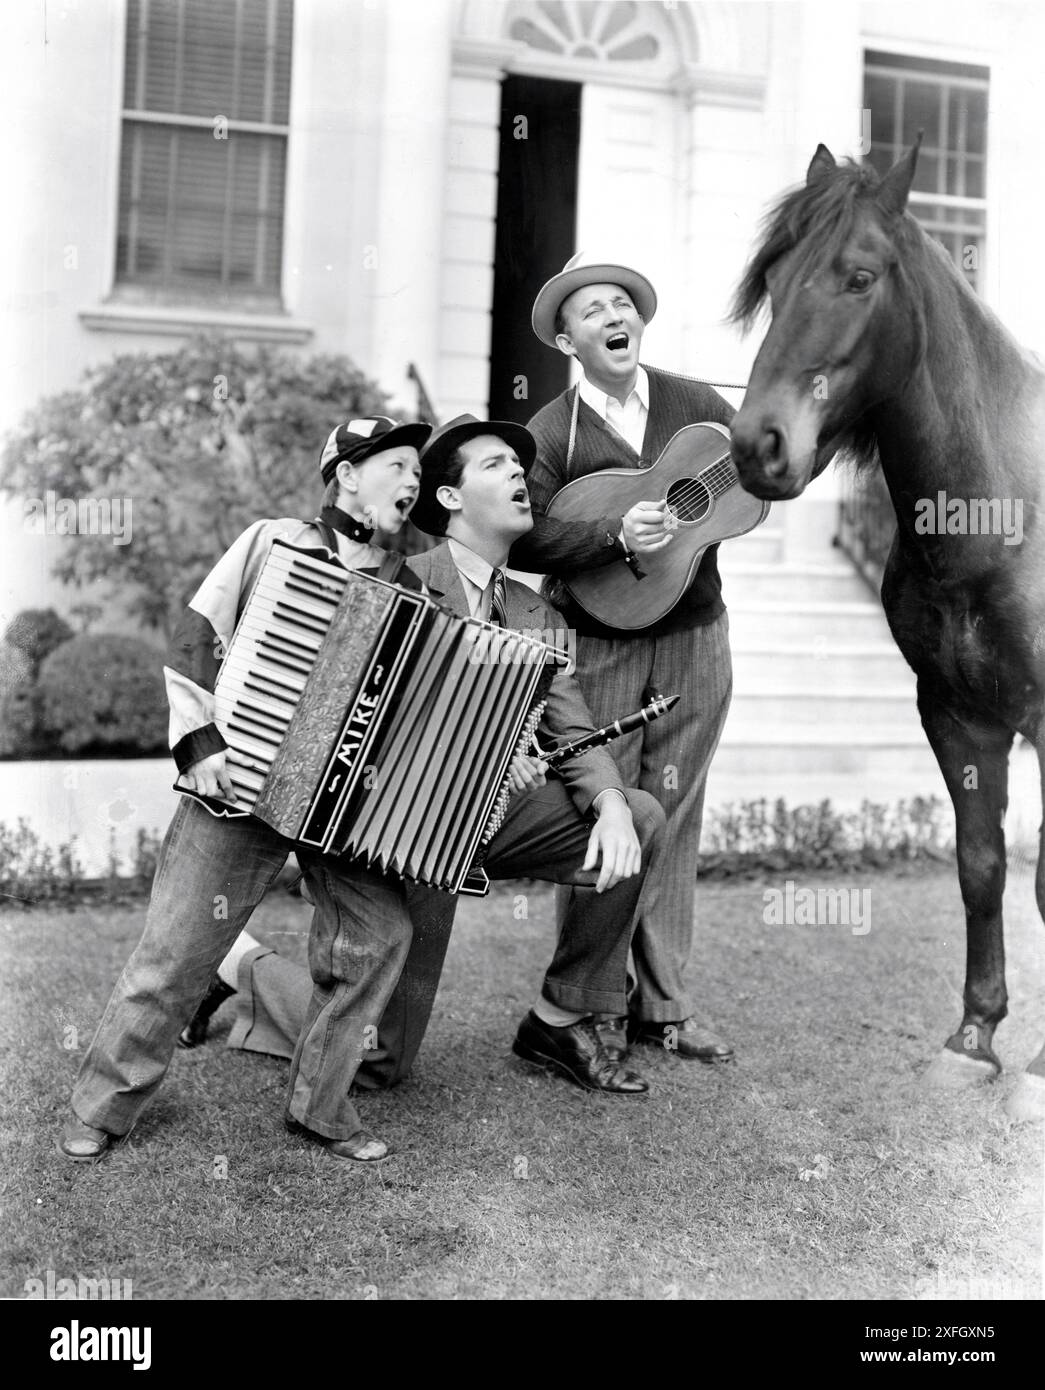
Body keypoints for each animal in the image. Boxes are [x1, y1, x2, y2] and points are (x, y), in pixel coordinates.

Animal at [728, 138, 1045, 1117]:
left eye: (858, 277)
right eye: (771, 277)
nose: (757, 444)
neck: (1002, 513)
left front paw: (1040, 1070)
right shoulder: (955, 716)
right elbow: (980, 866)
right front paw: (973, 1040)